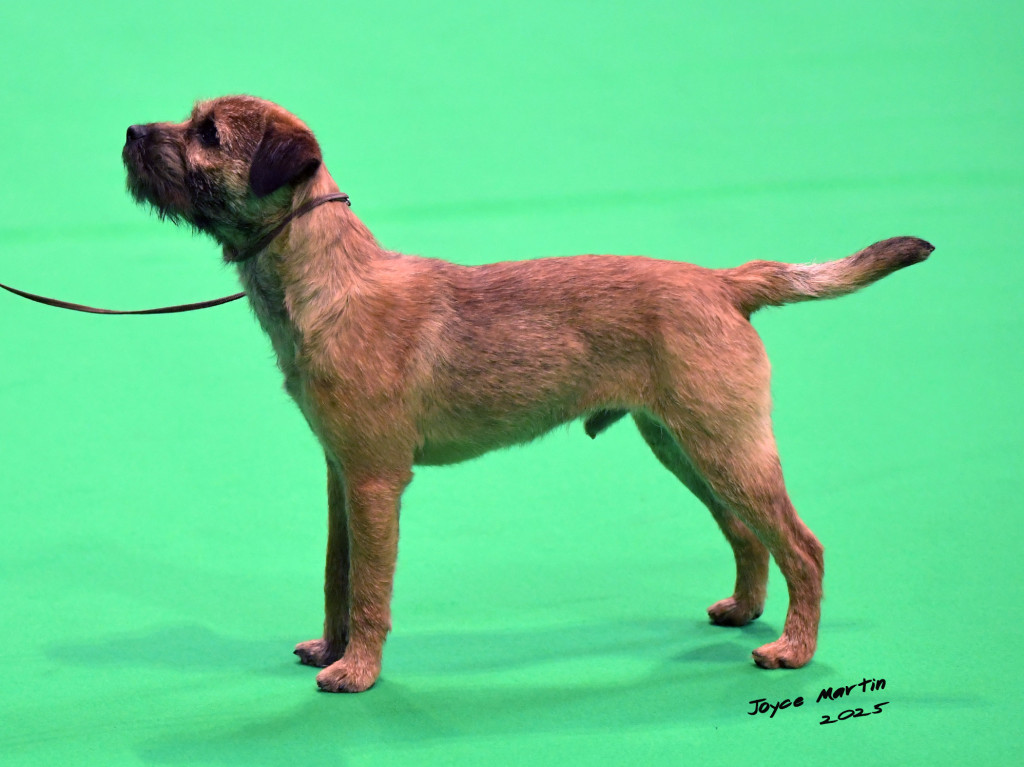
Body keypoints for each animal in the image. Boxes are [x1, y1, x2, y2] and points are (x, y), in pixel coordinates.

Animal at [122, 95, 933, 692]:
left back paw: (793, 649)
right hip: (686, 447)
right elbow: (335, 575)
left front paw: (357, 671)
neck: (326, 282)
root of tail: (724, 283)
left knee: (802, 544)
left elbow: (369, 588)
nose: (131, 130)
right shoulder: (340, 478)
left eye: (208, 135)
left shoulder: (375, 482)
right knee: (747, 534)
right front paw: (331, 647)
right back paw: (745, 610)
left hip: (725, 446)